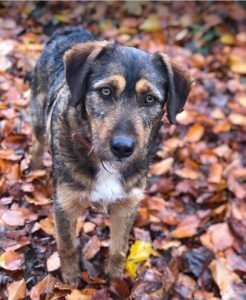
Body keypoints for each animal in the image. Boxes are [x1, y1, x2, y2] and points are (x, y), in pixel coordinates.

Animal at [29, 26, 191, 286]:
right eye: (105, 91)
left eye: (150, 99)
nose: (123, 148)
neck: (105, 163)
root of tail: (68, 29)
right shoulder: (65, 204)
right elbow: (67, 246)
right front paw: (71, 279)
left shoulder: (126, 206)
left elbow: (119, 249)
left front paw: (115, 279)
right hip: (37, 119)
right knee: (36, 142)